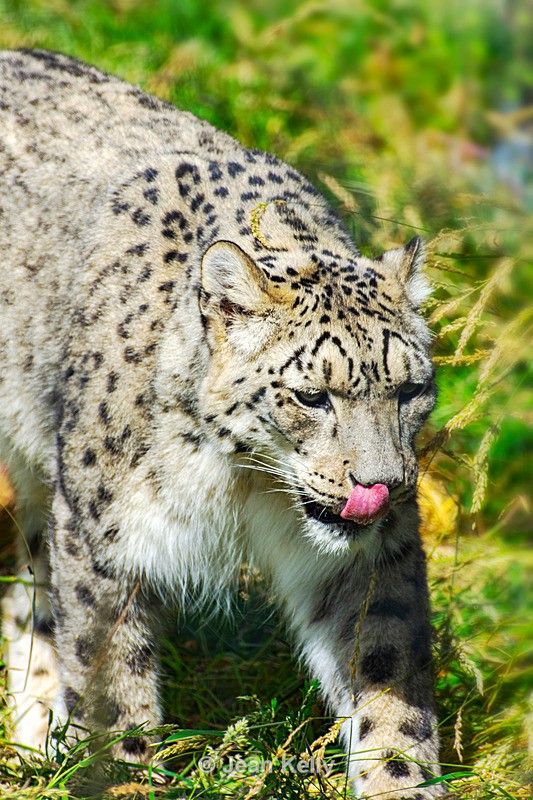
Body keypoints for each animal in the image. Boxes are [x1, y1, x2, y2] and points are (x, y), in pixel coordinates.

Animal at [0, 49, 444, 798]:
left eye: (411, 389)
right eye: (312, 396)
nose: (382, 485)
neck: (244, 483)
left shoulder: (369, 559)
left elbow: (385, 672)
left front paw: (399, 778)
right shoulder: (103, 540)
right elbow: (110, 684)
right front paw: (119, 774)